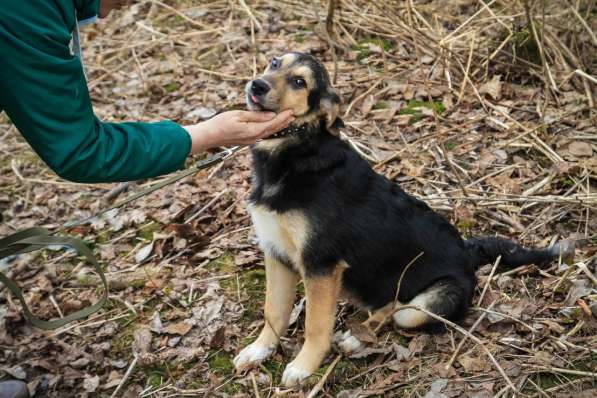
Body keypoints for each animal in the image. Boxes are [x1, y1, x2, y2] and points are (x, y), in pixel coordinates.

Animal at [229, 51, 568, 388]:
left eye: (300, 82)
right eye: (274, 63)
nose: (257, 85)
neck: (295, 152)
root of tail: (468, 253)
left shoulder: (321, 265)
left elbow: (315, 324)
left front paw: (303, 366)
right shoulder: (276, 253)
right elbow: (273, 311)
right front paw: (259, 349)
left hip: (422, 305)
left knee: (397, 307)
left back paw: (356, 337)